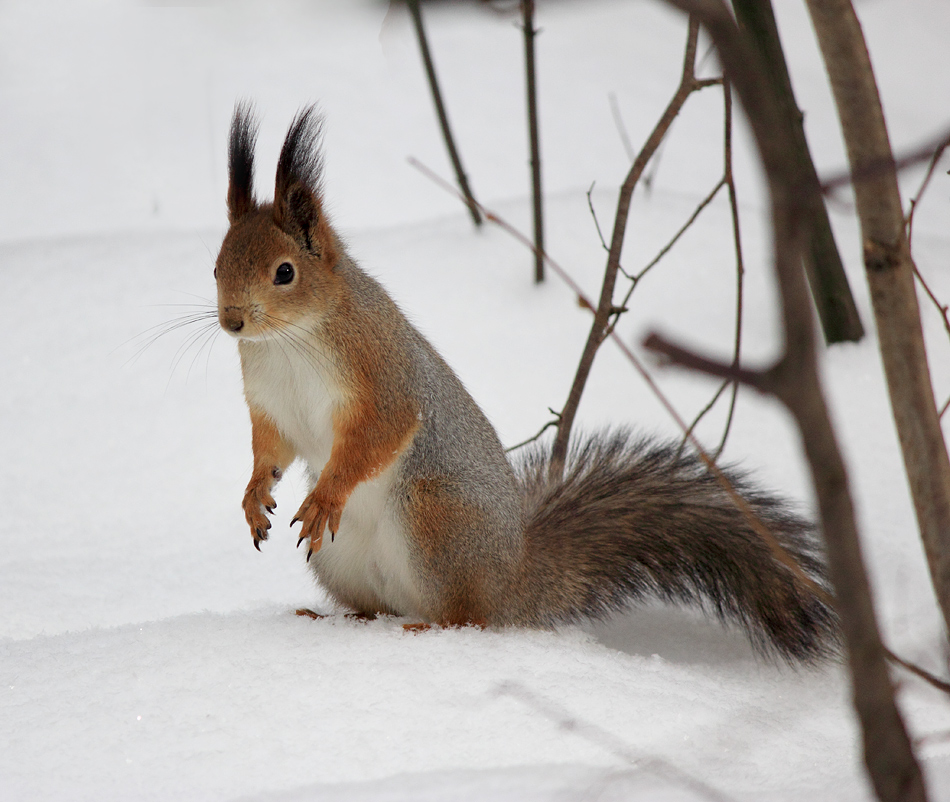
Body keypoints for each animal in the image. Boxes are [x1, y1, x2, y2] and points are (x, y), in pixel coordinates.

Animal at [216, 103, 840, 660]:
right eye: (217, 264)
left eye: (285, 273)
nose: (231, 322)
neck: (289, 342)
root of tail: (513, 577)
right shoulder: (270, 403)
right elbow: (271, 449)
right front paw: (253, 495)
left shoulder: (382, 376)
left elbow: (377, 435)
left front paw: (326, 495)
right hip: (344, 560)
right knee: (380, 607)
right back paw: (334, 618)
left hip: (435, 517)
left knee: (468, 616)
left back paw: (430, 627)